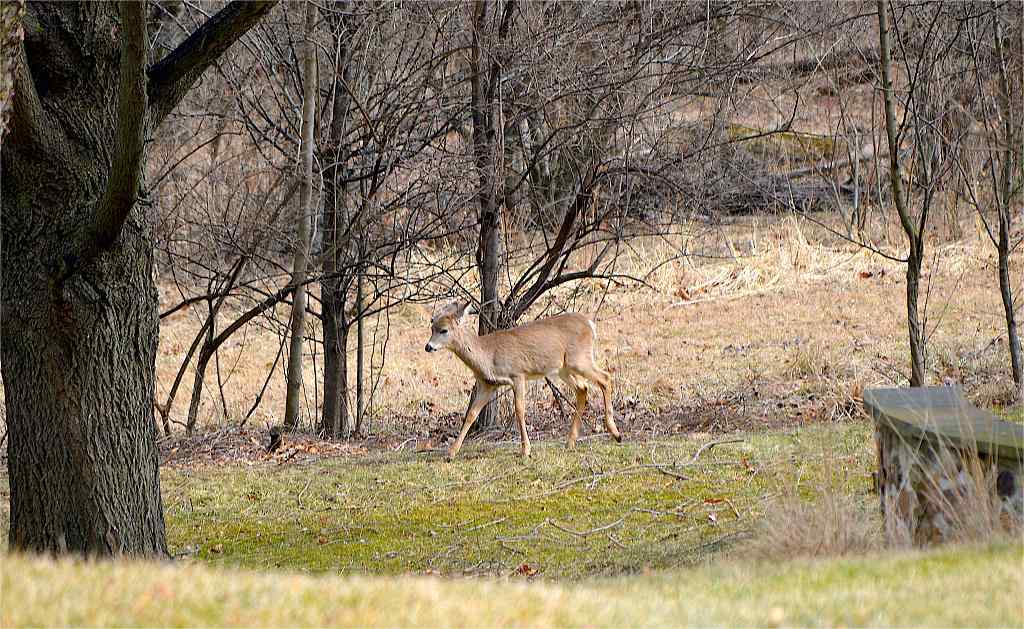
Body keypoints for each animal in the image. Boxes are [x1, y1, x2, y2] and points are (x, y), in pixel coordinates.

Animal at [421, 299, 618, 458]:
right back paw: (570, 442)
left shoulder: (518, 374)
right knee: (583, 388)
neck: (487, 354)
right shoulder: (488, 383)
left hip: (579, 359)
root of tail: (590, 324)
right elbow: (471, 414)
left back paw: (615, 433)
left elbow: (519, 409)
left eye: (444, 330)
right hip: (563, 368)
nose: (428, 347)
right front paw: (451, 452)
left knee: (605, 378)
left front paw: (526, 450)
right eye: (431, 328)